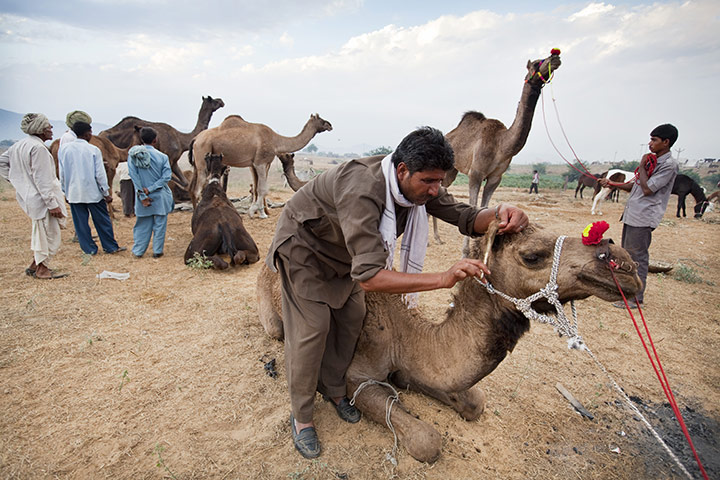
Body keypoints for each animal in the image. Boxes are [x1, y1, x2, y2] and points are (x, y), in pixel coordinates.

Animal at [188, 113, 332, 217]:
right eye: (320, 119)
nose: (330, 125)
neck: (276, 140)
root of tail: (195, 139)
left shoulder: (258, 163)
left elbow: (258, 188)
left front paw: (260, 212)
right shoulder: (260, 162)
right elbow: (263, 189)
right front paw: (255, 212)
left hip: (198, 162)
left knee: (192, 188)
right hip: (202, 154)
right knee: (197, 190)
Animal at [433, 50, 562, 244]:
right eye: (537, 63)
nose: (555, 57)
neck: (501, 145)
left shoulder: (495, 178)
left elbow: (484, 207)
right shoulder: (476, 173)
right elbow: (473, 205)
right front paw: (467, 249)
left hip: (452, 171)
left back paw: (437, 238)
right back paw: (433, 238)